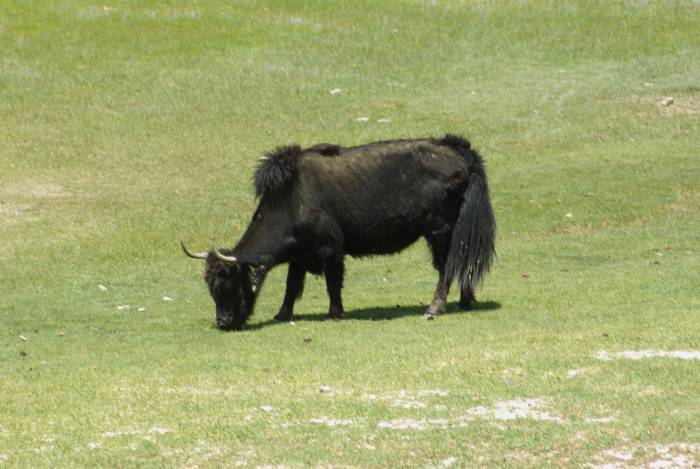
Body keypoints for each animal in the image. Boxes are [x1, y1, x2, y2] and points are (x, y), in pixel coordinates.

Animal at [183, 133, 494, 330]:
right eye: (210, 285)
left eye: (227, 281)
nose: (224, 323)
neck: (291, 199)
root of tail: (461, 151)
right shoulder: (299, 255)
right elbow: (291, 284)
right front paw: (281, 315)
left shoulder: (329, 249)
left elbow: (332, 281)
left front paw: (334, 314)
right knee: (464, 260)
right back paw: (466, 302)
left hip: (439, 230)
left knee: (447, 266)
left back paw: (434, 308)